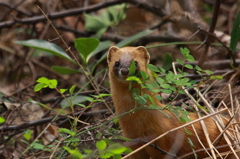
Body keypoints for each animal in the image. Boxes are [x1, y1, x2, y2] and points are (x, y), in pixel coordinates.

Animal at [107, 45, 236, 158]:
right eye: (116, 63)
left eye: (135, 62)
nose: (124, 70)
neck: (137, 124)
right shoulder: (132, 142)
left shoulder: (160, 140)